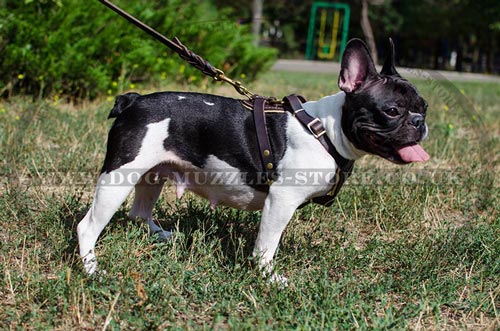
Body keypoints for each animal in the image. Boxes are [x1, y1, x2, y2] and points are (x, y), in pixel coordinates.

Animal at [78, 38, 430, 282]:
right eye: (392, 110)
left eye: (423, 106)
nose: (419, 122)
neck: (324, 131)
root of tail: (133, 101)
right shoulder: (282, 200)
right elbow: (266, 245)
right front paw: (267, 277)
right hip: (120, 175)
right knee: (87, 227)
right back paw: (91, 270)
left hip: (152, 173)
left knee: (139, 212)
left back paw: (160, 235)